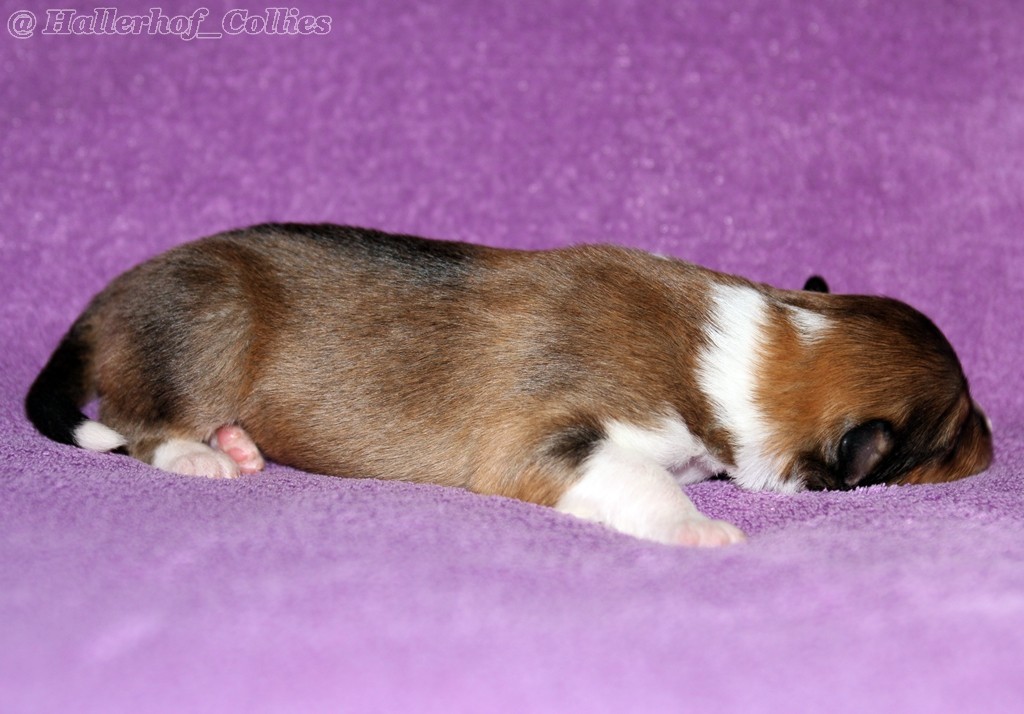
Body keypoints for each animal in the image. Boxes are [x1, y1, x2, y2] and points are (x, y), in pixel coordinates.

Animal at [25, 223, 993, 546]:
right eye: (951, 435)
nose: (995, 442)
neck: (756, 349)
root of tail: (107, 299)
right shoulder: (557, 442)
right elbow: (645, 484)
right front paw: (705, 532)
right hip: (210, 328)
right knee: (140, 422)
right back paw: (204, 456)